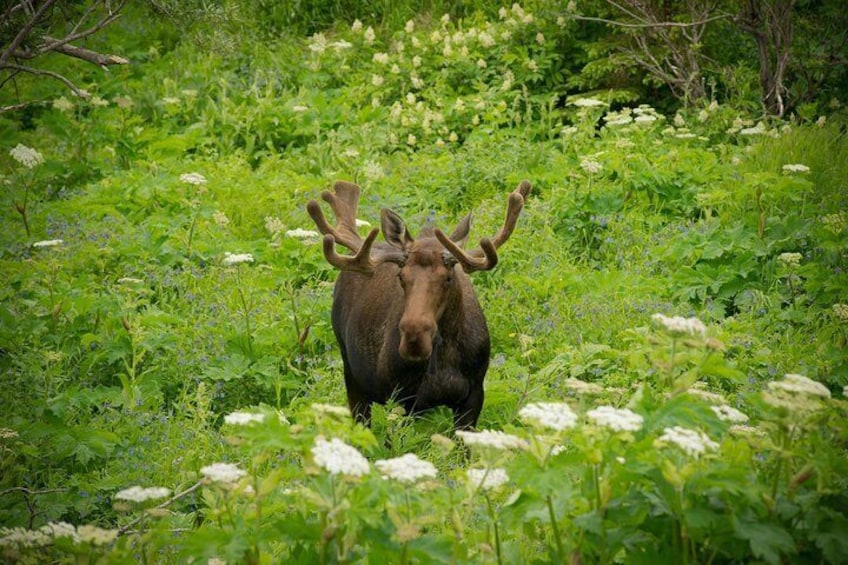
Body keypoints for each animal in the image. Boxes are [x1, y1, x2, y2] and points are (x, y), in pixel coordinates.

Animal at [304, 181, 528, 428]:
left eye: (448, 277)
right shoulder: (401, 400)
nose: (414, 336)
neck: (443, 359)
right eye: (401, 276)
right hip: (352, 376)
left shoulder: (474, 396)